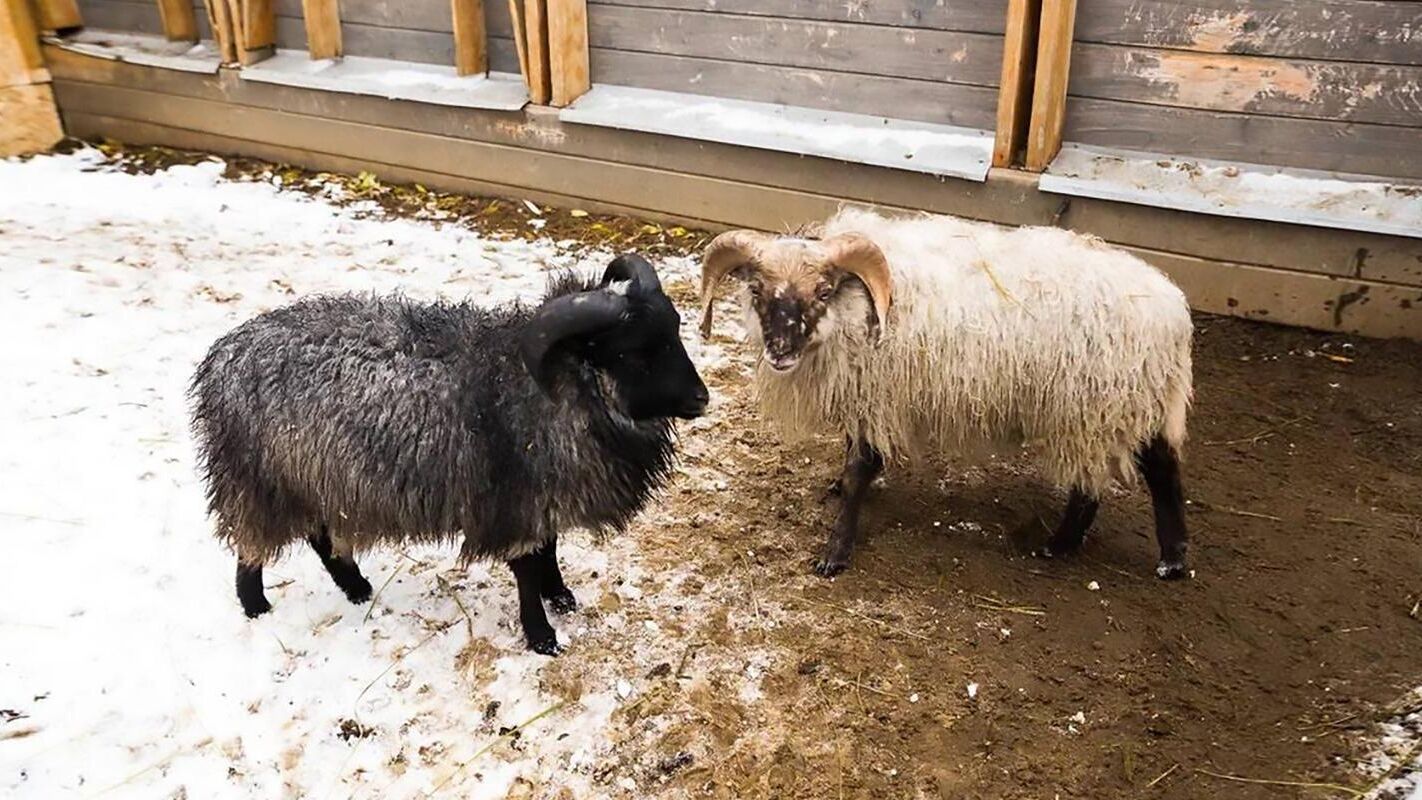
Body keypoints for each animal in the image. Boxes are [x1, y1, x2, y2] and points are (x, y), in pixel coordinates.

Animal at [189, 257, 711, 656]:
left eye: (675, 332)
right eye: (634, 353)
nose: (701, 398)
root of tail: (221, 357)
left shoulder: (541, 494)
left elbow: (550, 549)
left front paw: (560, 596)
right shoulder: (513, 502)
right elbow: (527, 567)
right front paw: (542, 636)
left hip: (316, 477)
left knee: (320, 537)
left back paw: (357, 588)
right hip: (259, 479)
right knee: (251, 546)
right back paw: (256, 607)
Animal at [705, 206, 1194, 582]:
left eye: (823, 291)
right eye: (756, 289)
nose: (780, 351)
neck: (859, 307)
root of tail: (1173, 310)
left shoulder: (879, 395)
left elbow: (861, 467)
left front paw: (835, 553)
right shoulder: (866, 397)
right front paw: (838, 487)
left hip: (1092, 409)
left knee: (1095, 485)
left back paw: (1058, 546)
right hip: (1133, 403)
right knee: (1162, 467)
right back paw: (1171, 560)